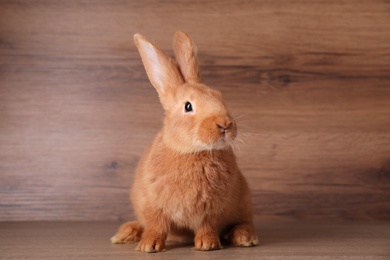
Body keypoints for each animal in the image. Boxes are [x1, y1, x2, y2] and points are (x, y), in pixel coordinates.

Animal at [110, 31, 258, 253]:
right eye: (188, 106)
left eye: (220, 96)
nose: (225, 124)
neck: (192, 151)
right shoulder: (153, 204)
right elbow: (156, 225)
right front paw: (149, 246)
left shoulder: (213, 209)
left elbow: (208, 225)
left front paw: (207, 245)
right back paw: (126, 233)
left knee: (242, 223)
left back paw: (245, 237)